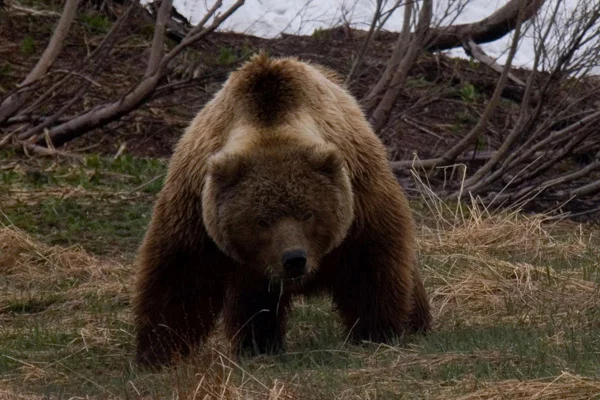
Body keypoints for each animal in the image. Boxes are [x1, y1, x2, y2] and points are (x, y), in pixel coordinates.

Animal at [133, 54, 432, 368]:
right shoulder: (196, 209)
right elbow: (181, 276)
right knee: (253, 303)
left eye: (308, 213)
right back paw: (258, 344)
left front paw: (377, 331)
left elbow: (370, 265)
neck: (270, 123)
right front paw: (158, 351)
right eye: (262, 221)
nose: (294, 259)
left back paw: (418, 323)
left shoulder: (359, 199)